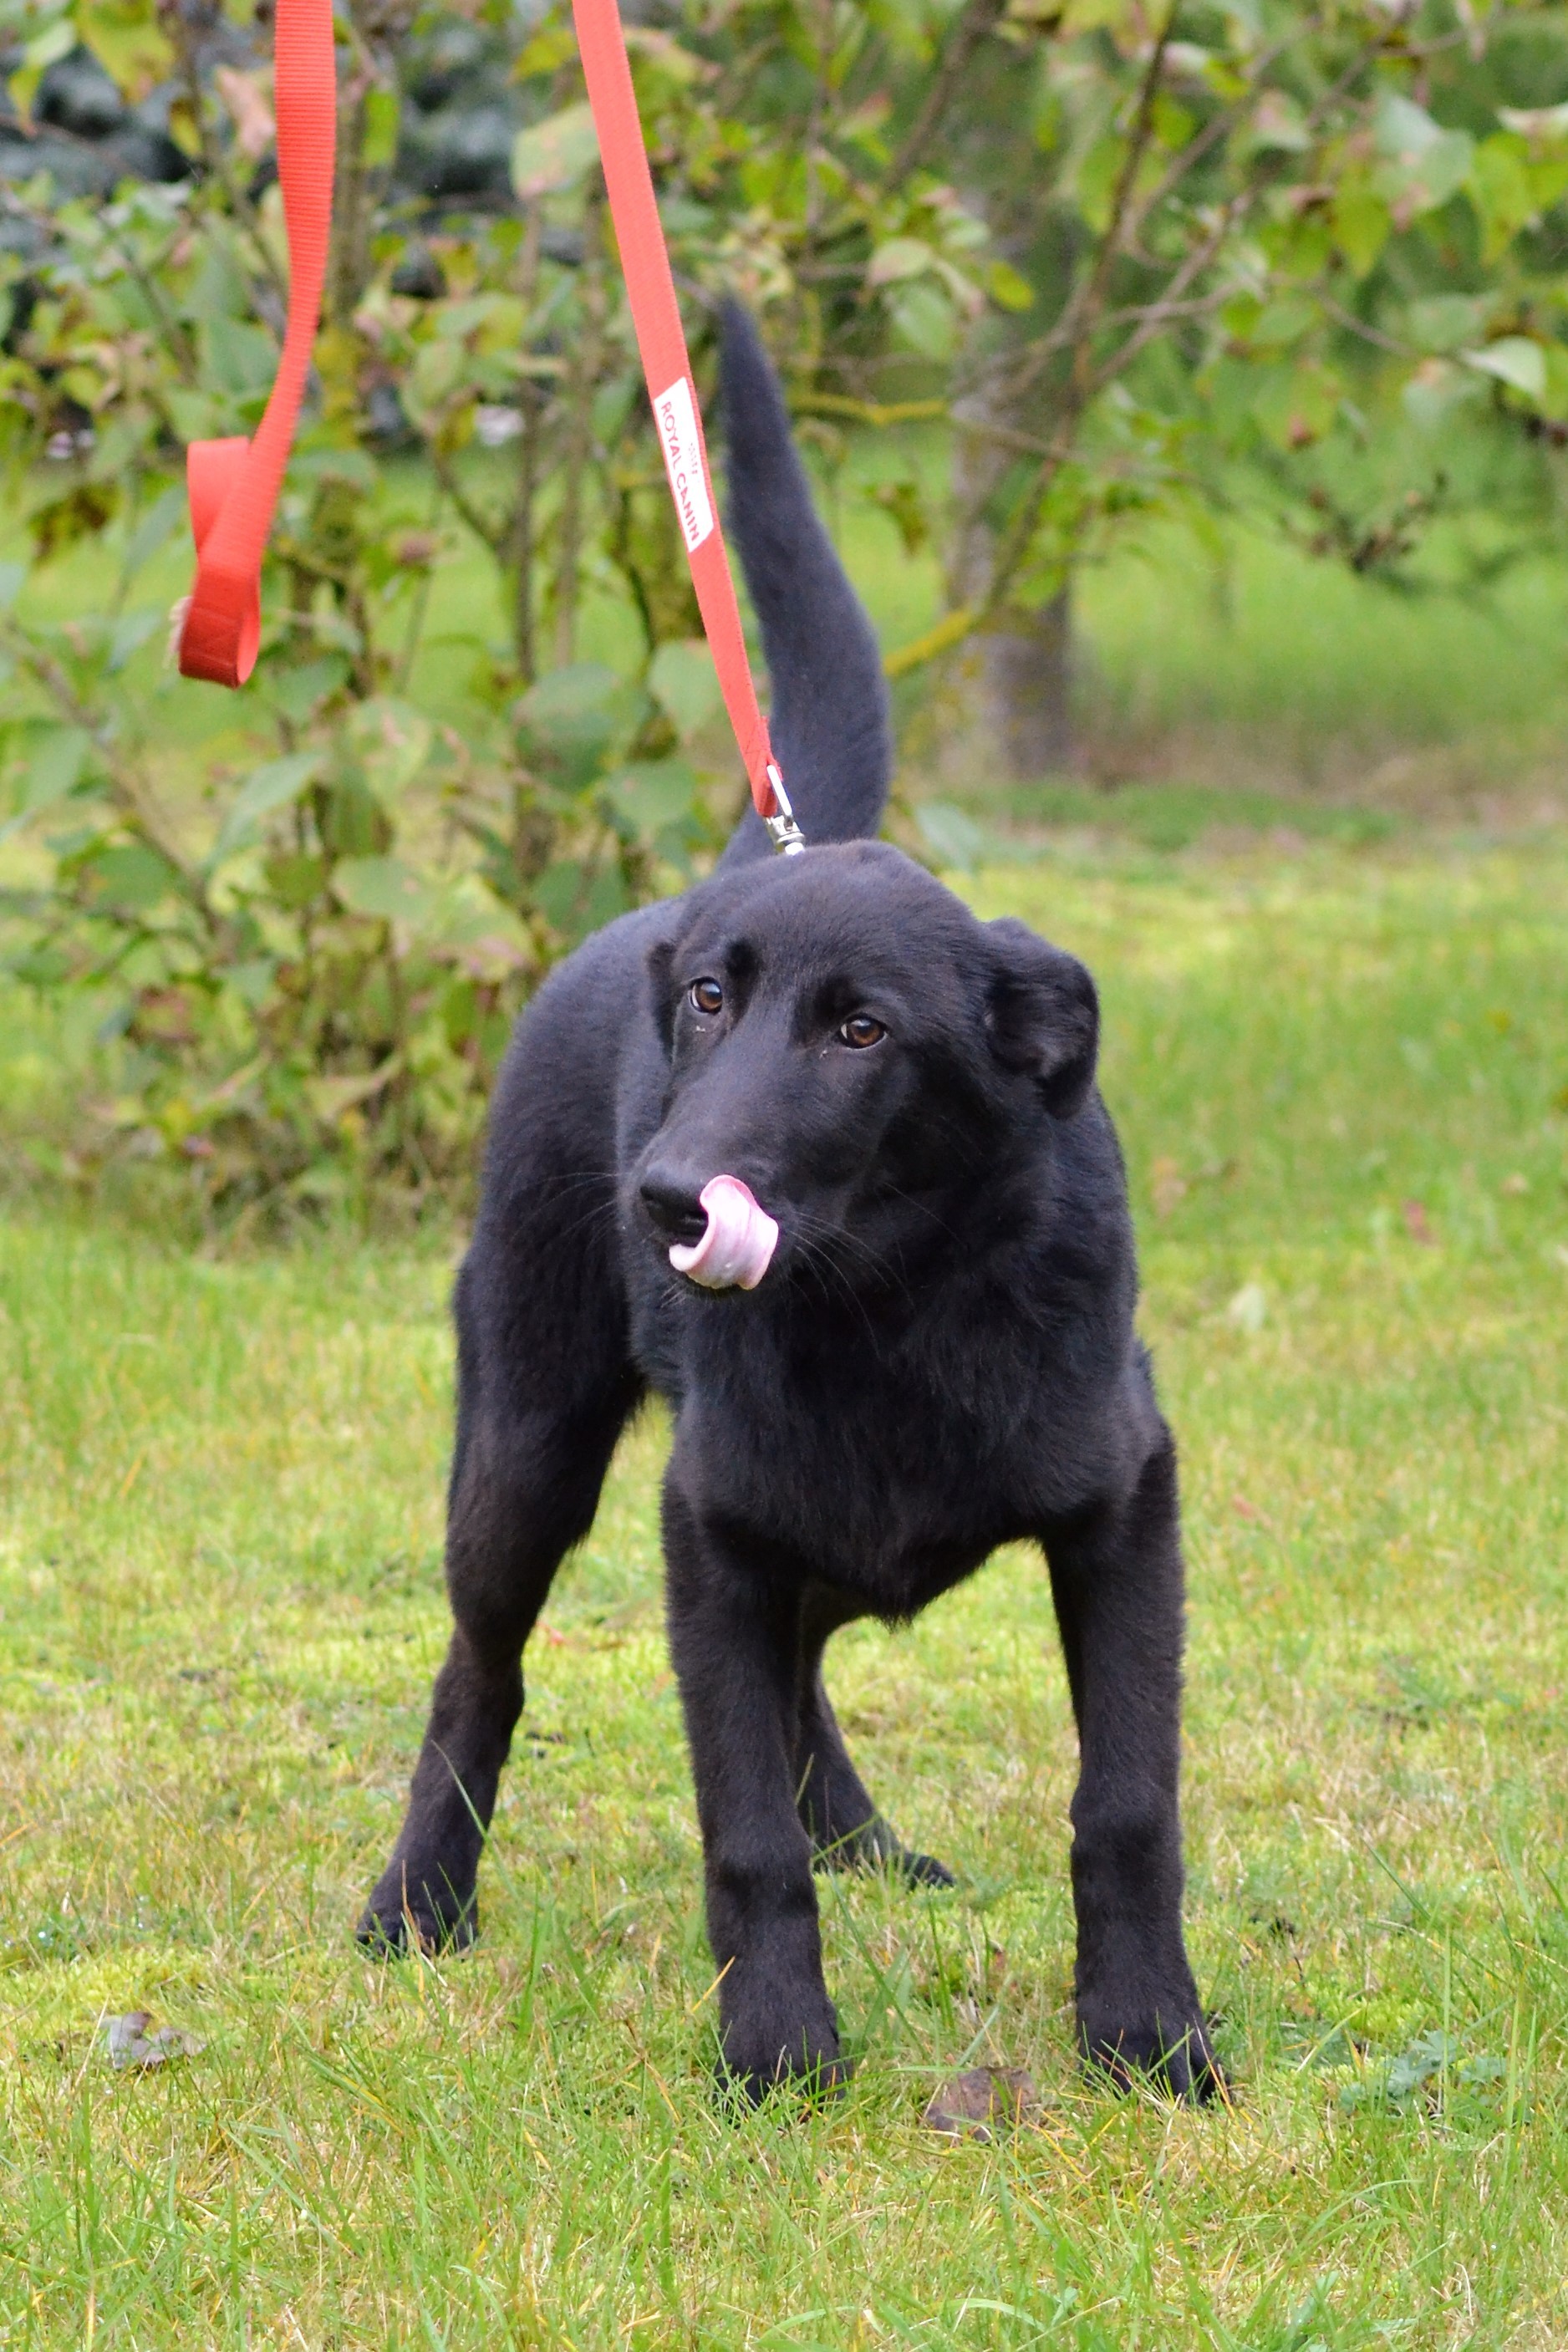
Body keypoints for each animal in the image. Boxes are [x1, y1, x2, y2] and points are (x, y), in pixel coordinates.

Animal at [359, 304, 1217, 2104]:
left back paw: (868, 1842)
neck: (891, 1306)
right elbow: (736, 1825)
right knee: (481, 1668)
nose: (664, 1199)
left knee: (807, 1658)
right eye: (707, 1001)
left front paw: (1145, 2031)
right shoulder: (711, 1529)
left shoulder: (1124, 1510)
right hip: (525, 1446)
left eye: (860, 1030)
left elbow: (1124, 1800)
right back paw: (416, 1903)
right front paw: (775, 2047)